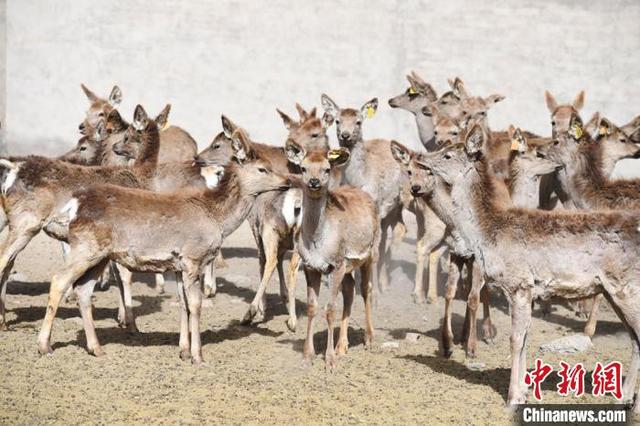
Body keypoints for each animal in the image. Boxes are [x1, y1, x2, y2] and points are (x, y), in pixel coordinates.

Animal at [36, 127, 292, 362]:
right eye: (263, 168)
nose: (288, 180)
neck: (217, 218)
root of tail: (75, 206)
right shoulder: (193, 257)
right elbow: (195, 305)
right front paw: (198, 355)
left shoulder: (177, 265)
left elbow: (183, 304)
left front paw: (184, 350)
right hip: (85, 248)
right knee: (59, 280)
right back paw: (44, 345)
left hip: (100, 255)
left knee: (83, 290)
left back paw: (95, 347)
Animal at [286, 141, 380, 372]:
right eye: (303, 167)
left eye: (327, 169)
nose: (314, 182)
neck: (317, 242)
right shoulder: (311, 266)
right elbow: (312, 307)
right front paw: (307, 357)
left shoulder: (336, 263)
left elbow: (330, 310)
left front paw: (329, 361)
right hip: (348, 264)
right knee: (349, 289)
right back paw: (342, 346)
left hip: (372, 252)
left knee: (366, 289)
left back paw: (369, 339)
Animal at [418, 122, 640, 410]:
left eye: (447, 155)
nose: (421, 158)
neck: (487, 233)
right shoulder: (530, 290)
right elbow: (524, 339)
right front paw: (523, 392)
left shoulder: (519, 284)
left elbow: (515, 340)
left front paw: (512, 399)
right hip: (614, 291)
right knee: (634, 338)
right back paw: (624, 397)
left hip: (626, 287)